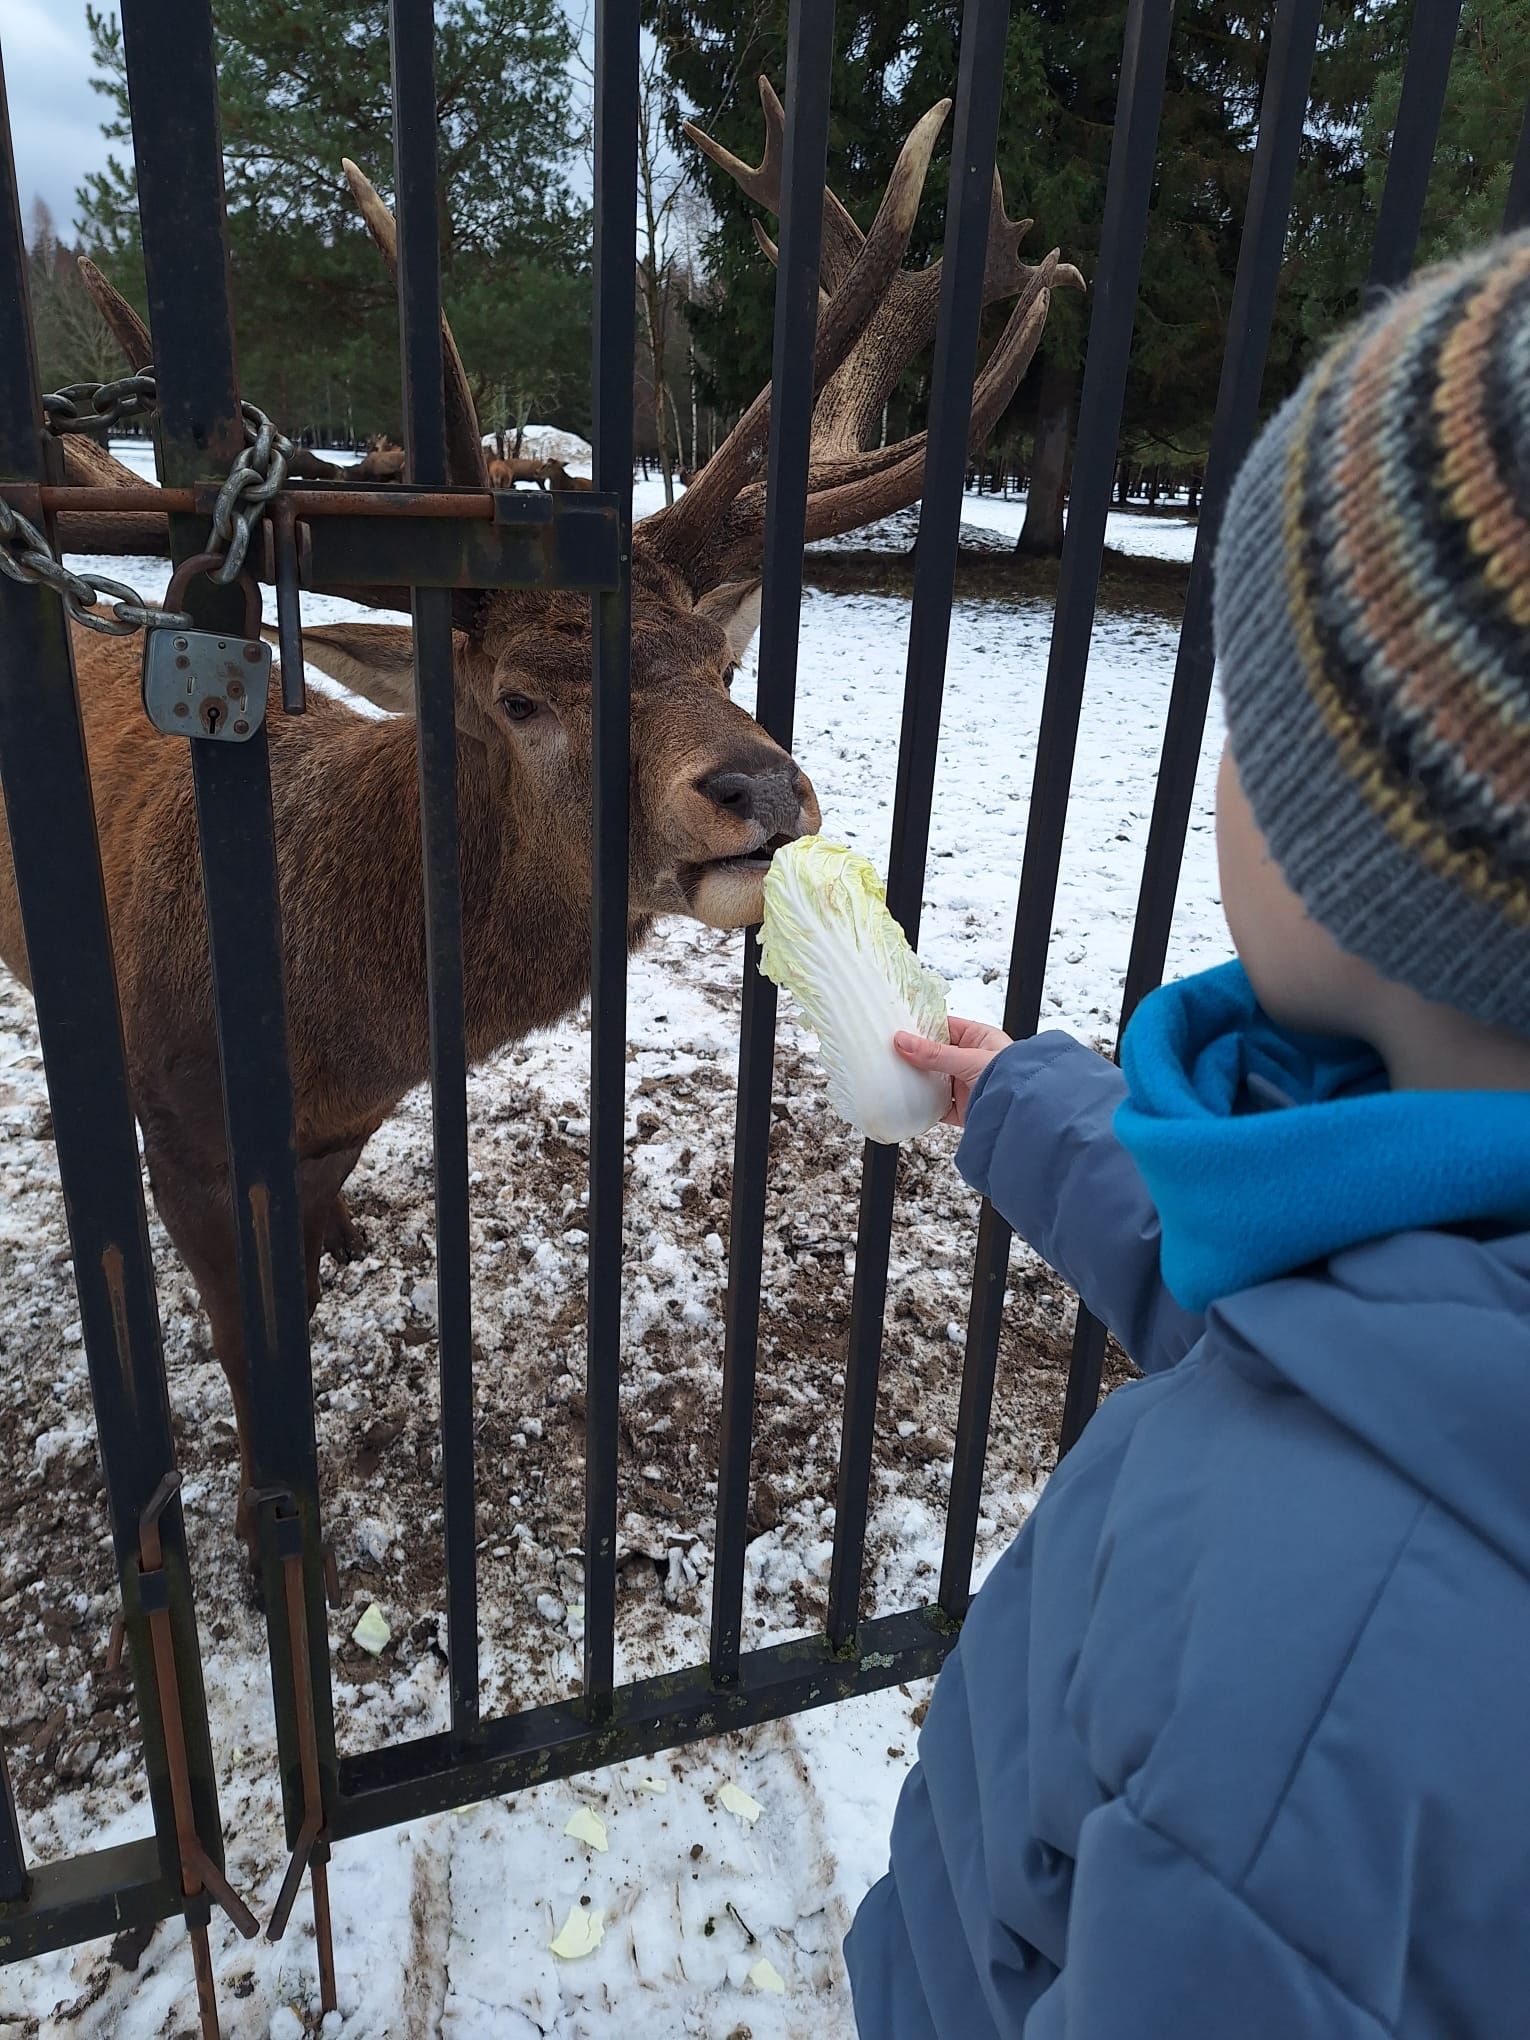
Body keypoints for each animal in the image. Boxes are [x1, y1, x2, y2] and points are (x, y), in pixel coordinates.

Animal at [0, 79, 1078, 1577]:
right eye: (517, 697)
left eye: (723, 661)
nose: (761, 789)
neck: (330, 1025)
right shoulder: (188, 1136)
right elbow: (245, 1355)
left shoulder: (338, 1126)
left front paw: (342, 1258)